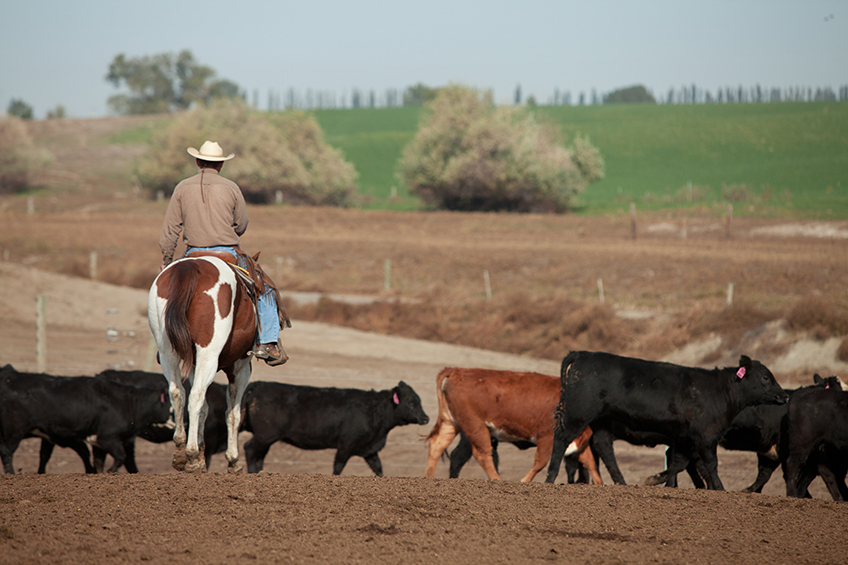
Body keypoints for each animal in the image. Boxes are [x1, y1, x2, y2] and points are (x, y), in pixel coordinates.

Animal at [0, 366, 171, 472]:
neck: (130, 403)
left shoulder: (98, 442)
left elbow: (99, 462)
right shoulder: (107, 438)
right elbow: (117, 457)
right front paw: (110, 471)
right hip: (16, 429)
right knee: (7, 452)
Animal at [149, 254, 268, 472]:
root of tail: (190, 266)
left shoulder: (194, 365)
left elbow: (204, 408)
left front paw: (202, 458)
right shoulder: (241, 368)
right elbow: (233, 413)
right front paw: (233, 461)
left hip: (167, 351)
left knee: (177, 392)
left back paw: (181, 452)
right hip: (208, 354)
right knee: (195, 395)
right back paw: (191, 453)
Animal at [242, 378, 430, 476]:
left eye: (419, 401)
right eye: (411, 402)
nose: (426, 418)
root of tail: (260, 384)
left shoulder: (369, 449)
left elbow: (378, 468)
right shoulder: (346, 445)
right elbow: (338, 467)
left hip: (266, 438)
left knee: (259, 456)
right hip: (265, 435)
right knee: (249, 449)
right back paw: (251, 474)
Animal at [424, 368, 604, 482]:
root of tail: (457, 371)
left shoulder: (579, 442)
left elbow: (590, 464)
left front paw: (599, 485)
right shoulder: (547, 437)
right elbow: (541, 462)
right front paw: (524, 481)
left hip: (452, 422)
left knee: (437, 444)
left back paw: (428, 477)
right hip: (475, 425)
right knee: (482, 453)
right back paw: (497, 479)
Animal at [548, 352, 784, 490]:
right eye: (765, 377)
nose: (785, 396)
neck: (719, 391)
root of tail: (581, 354)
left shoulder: (684, 438)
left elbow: (679, 463)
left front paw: (655, 479)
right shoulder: (706, 436)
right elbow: (710, 464)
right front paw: (720, 488)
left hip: (602, 419)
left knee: (604, 448)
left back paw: (622, 483)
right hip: (578, 413)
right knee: (561, 440)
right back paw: (550, 478)